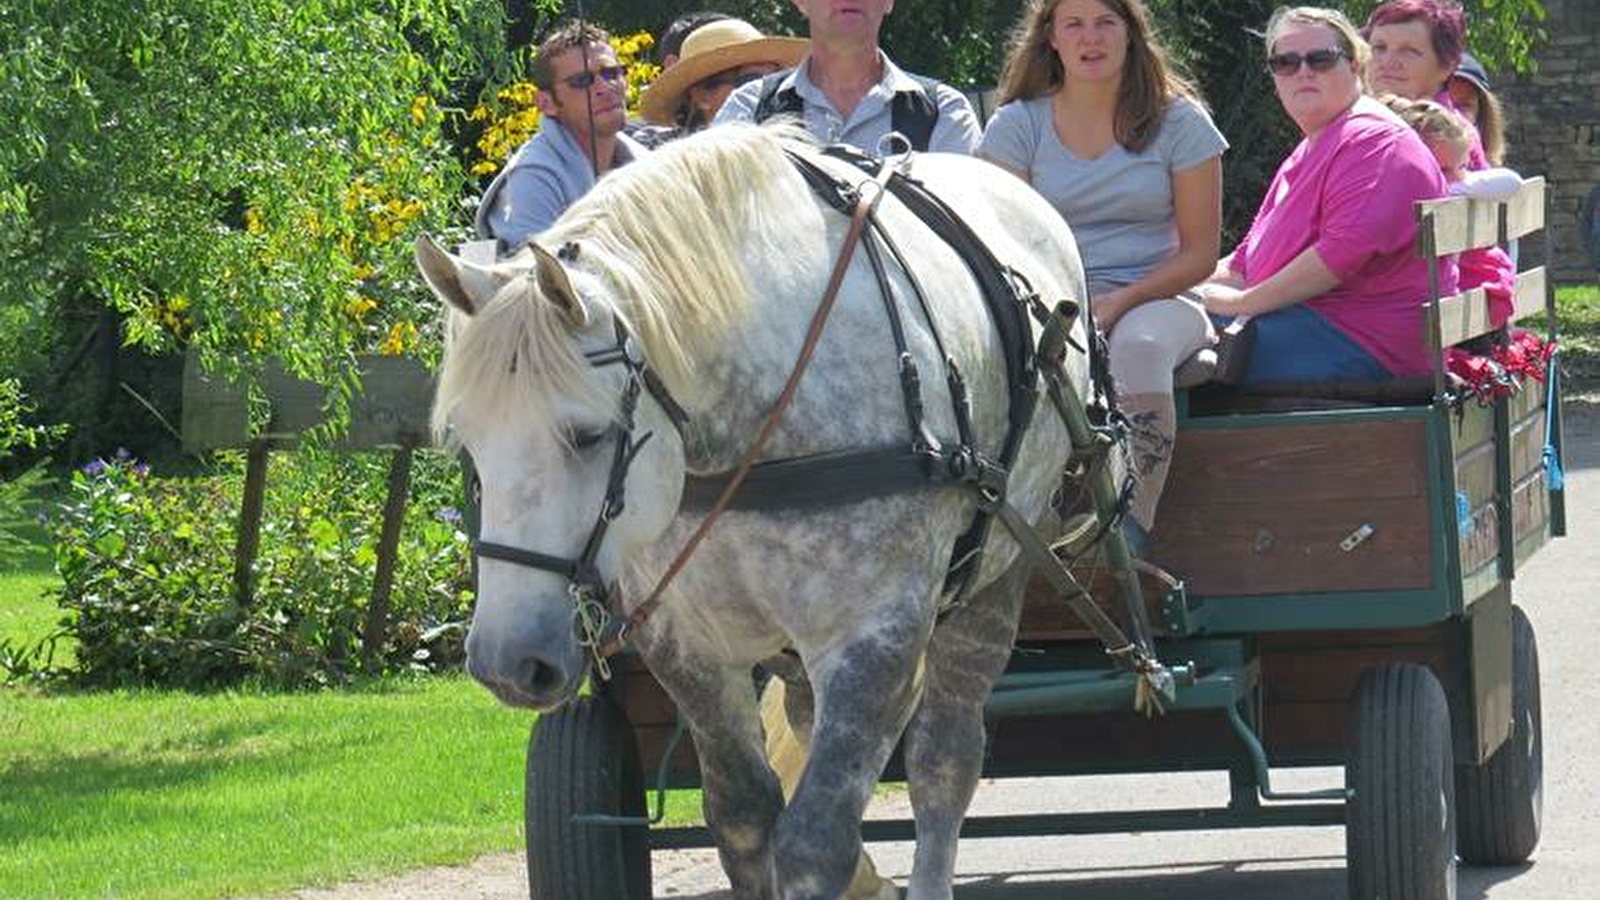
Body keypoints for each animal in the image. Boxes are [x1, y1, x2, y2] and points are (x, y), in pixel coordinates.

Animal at [416, 120, 1088, 896]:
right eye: (467, 442)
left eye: (587, 435)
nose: (506, 660)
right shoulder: (687, 645)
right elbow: (743, 817)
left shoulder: (876, 637)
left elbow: (814, 840)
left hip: (993, 579)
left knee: (943, 761)